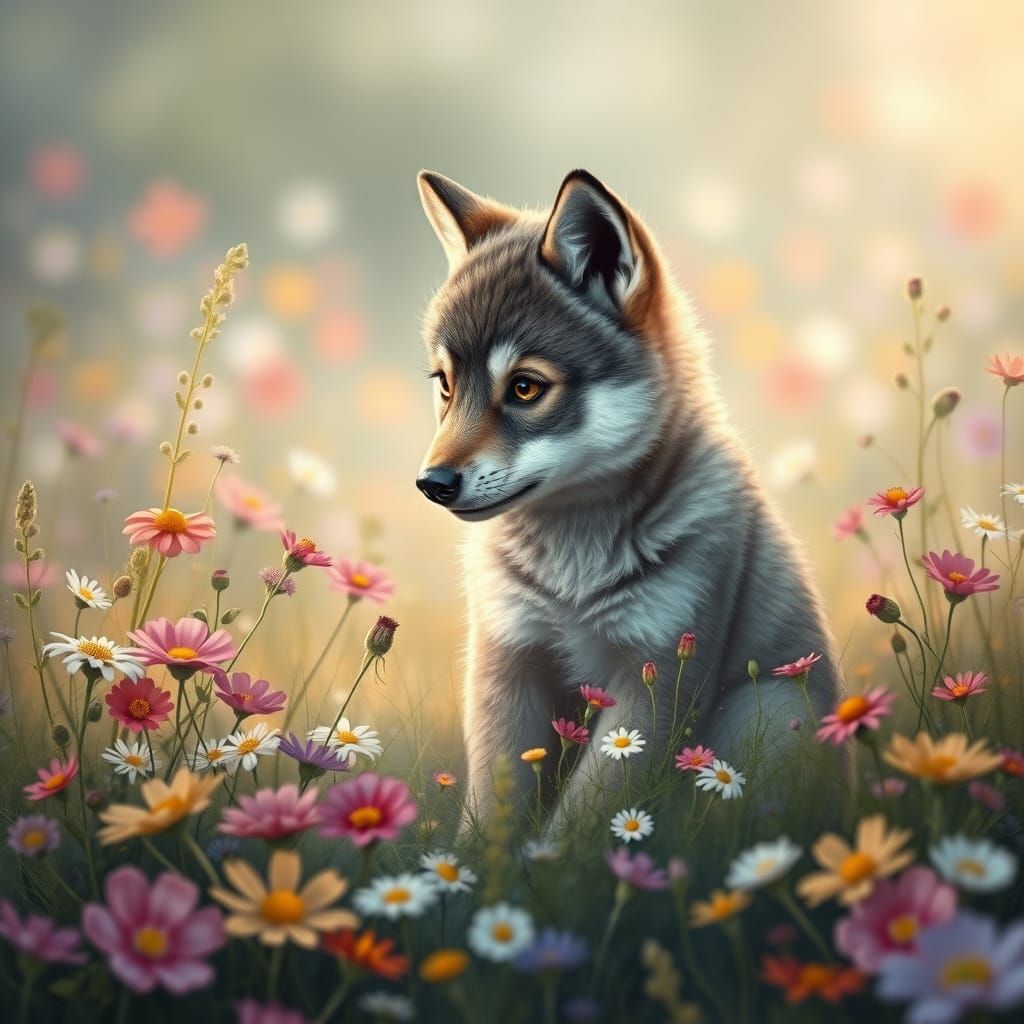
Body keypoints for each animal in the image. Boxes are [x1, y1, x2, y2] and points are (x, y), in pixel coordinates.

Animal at [414, 169, 840, 827]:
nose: (432, 483)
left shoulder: (657, 677)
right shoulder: (507, 660)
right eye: (446, 385)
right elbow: (492, 813)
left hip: (766, 709)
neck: (572, 567)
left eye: (525, 388)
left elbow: (581, 821)